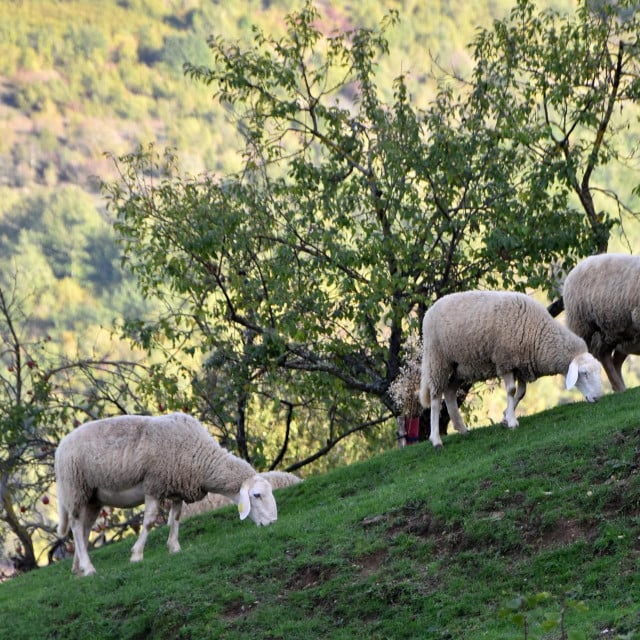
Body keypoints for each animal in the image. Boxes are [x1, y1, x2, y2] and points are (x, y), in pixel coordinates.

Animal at [58, 412, 280, 576]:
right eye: (257, 495)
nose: (272, 523)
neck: (200, 456)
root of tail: (61, 445)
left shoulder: (177, 488)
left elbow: (176, 518)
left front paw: (174, 547)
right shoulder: (154, 485)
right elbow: (149, 521)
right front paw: (136, 555)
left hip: (93, 498)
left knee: (84, 529)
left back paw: (78, 568)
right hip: (75, 489)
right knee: (76, 527)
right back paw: (88, 568)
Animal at [418, 288, 604, 444]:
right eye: (584, 373)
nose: (597, 398)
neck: (537, 332)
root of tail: (429, 310)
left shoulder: (521, 366)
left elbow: (521, 393)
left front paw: (506, 418)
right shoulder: (505, 361)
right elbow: (511, 391)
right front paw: (512, 422)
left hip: (461, 367)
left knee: (449, 393)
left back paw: (462, 429)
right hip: (438, 361)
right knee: (435, 398)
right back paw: (436, 439)